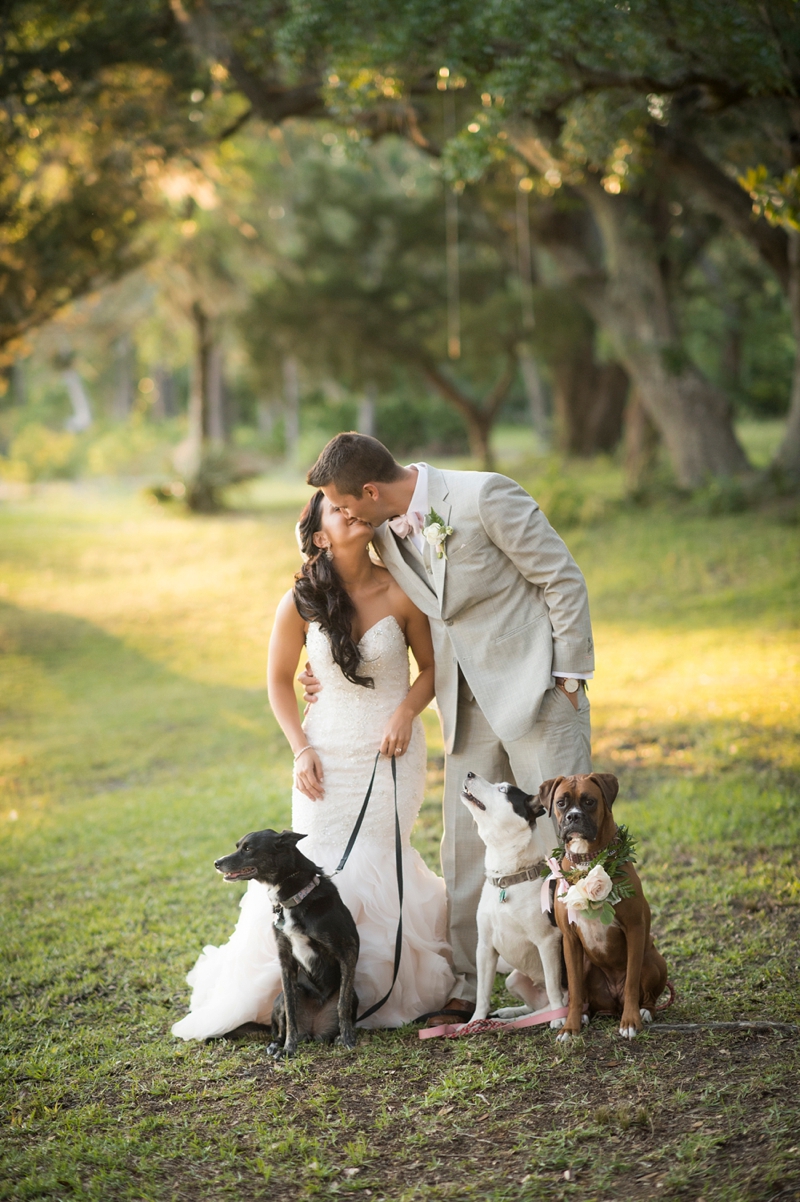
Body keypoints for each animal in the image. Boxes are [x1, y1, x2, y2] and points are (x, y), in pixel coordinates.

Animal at [215, 831, 357, 1057]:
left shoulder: (348, 950)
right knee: (281, 1027)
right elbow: (291, 1013)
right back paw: (277, 1043)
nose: (216, 863)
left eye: (248, 848)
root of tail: (312, 1031)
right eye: (238, 846)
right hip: (283, 996)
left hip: (355, 995)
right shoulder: (285, 960)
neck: (295, 897)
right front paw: (289, 1048)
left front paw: (347, 1039)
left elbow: (343, 1004)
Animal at [458, 778, 564, 1024]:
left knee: (553, 1002)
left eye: (503, 789)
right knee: (533, 1007)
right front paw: (475, 1022)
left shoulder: (548, 942)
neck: (508, 878)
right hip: (513, 980)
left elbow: (553, 986)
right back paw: (507, 1015)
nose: (469, 773)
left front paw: (560, 1019)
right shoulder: (485, 947)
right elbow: (482, 993)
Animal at [535, 774, 667, 1038]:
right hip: (586, 964)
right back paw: (585, 1015)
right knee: (585, 995)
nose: (573, 817)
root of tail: (613, 1005)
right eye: (561, 803)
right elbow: (575, 990)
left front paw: (630, 1022)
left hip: (653, 959)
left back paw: (644, 1012)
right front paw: (570, 1026)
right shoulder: (570, 940)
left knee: (646, 994)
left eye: (589, 801)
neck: (587, 861)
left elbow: (632, 982)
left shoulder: (634, 929)